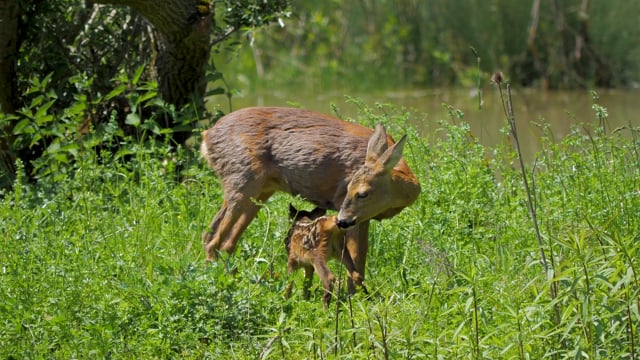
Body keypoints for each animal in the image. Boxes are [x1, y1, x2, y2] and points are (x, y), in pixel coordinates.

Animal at [200, 106, 420, 290]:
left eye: (363, 193)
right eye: (349, 187)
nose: (340, 220)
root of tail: (206, 136)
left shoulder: (363, 218)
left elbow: (361, 257)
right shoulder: (350, 212)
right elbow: (356, 256)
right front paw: (355, 298)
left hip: (260, 191)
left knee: (222, 240)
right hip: (242, 180)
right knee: (214, 240)